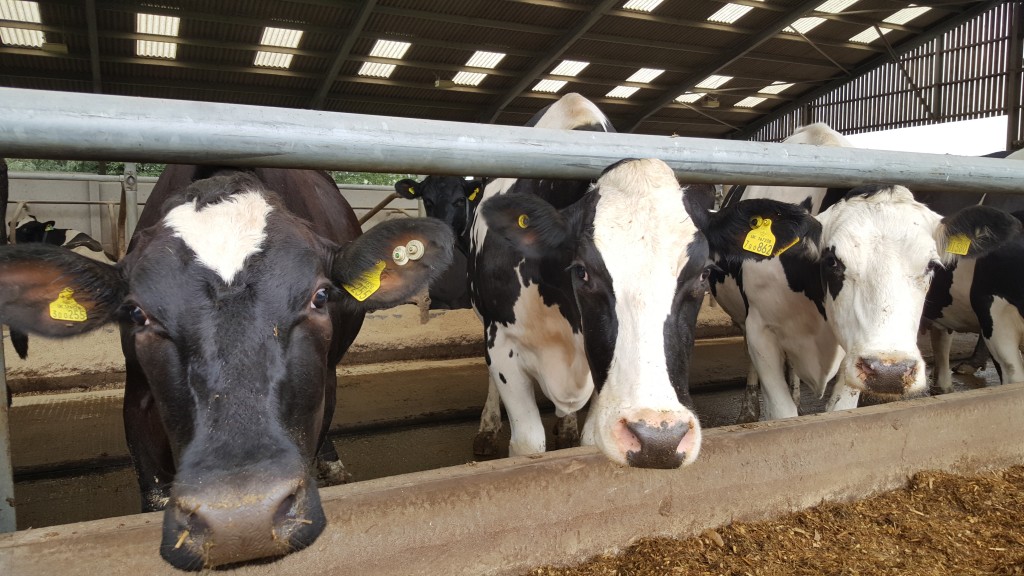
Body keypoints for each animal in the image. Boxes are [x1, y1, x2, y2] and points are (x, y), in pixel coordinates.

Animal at [479, 157, 821, 466]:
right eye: (582, 271)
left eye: (704, 274)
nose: (660, 441)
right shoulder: (503, 344)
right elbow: (527, 443)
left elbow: (588, 441)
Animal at [712, 123, 1021, 422]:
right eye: (832, 261)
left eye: (931, 265)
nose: (890, 372)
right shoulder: (760, 331)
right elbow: (781, 412)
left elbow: (839, 409)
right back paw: (748, 409)